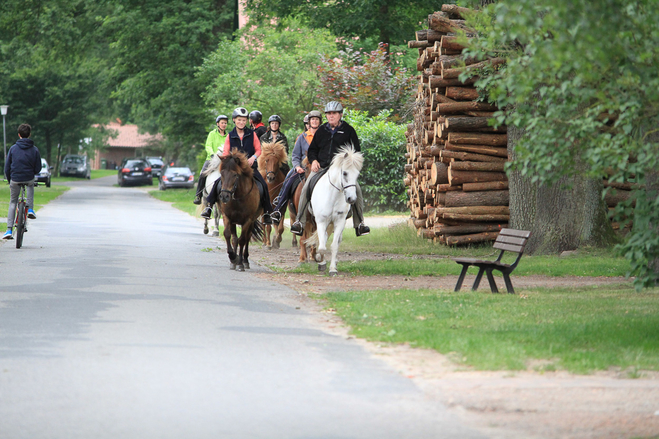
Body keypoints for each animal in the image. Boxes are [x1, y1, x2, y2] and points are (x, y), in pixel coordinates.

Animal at [306, 148, 364, 278]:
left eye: (357, 175)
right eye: (345, 173)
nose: (351, 199)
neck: (334, 196)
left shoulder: (339, 222)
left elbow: (334, 246)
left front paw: (332, 268)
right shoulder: (321, 222)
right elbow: (322, 246)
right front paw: (320, 260)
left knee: (336, 240)